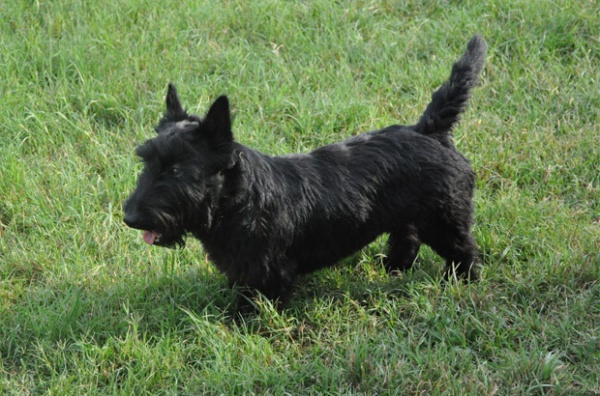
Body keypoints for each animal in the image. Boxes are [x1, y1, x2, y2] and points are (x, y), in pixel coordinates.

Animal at [123, 34, 488, 312]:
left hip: (445, 220)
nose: (129, 218)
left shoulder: (269, 272)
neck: (235, 203)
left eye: (176, 170)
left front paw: (243, 324)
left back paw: (458, 283)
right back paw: (393, 269)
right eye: (146, 161)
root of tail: (429, 130)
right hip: (410, 216)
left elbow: (259, 302)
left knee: (463, 251)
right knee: (407, 240)